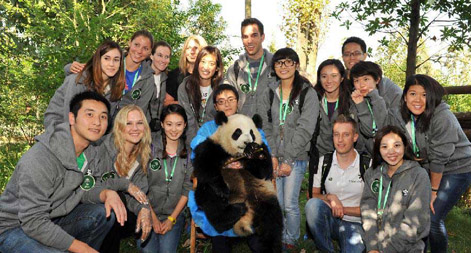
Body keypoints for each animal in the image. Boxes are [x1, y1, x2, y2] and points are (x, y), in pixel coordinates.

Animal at [193, 111, 282, 252]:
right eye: (238, 132)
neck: (238, 155)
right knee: (212, 204)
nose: (247, 142)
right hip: (210, 193)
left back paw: (271, 246)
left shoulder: (262, 149)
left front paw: (252, 149)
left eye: (251, 133)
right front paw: (222, 189)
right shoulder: (215, 147)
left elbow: (264, 170)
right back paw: (235, 210)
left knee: (272, 223)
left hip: (263, 196)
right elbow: (204, 165)